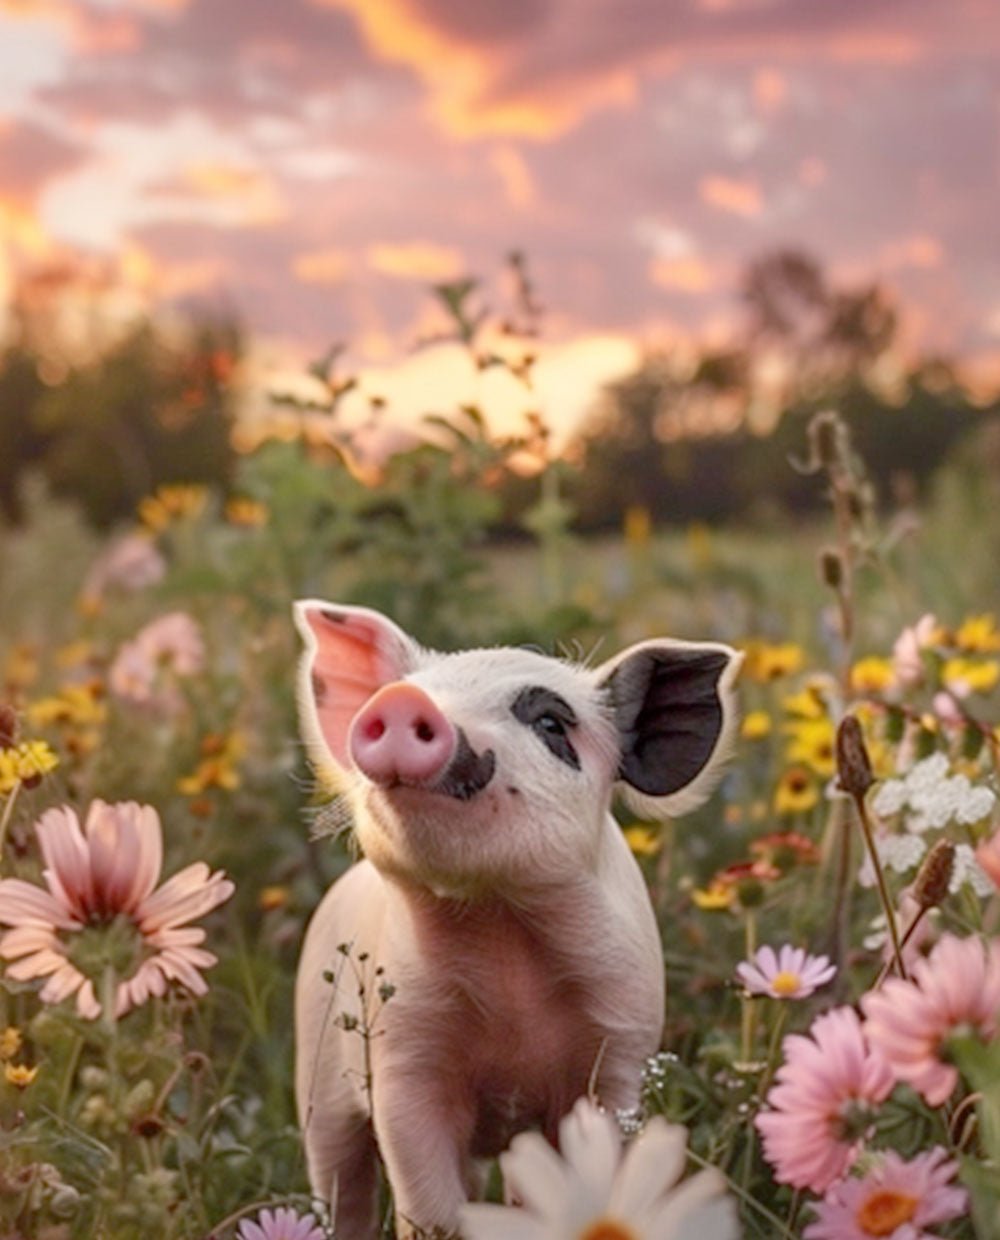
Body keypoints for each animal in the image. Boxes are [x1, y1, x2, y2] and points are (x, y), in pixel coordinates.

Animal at [293, 602, 742, 1239]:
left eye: (551, 723)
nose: (403, 700)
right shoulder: (405, 1058)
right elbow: (428, 1203)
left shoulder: (620, 1052)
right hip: (316, 1066)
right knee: (341, 1182)